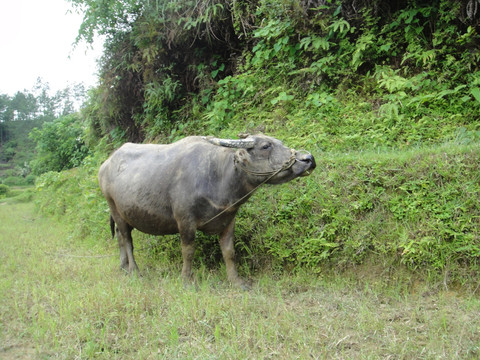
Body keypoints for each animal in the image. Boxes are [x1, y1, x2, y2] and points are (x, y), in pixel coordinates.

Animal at [97, 134, 316, 286]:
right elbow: (188, 251)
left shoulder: (228, 220)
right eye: (265, 146)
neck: (218, 175)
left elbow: (229, 252)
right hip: (114, 208)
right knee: (127, 240)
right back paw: (134, 270)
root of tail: (105, 165)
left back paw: (123, 266)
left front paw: (236, 281)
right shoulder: (185, 221)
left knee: (120, 238)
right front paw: (186, 279)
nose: (308, 158)